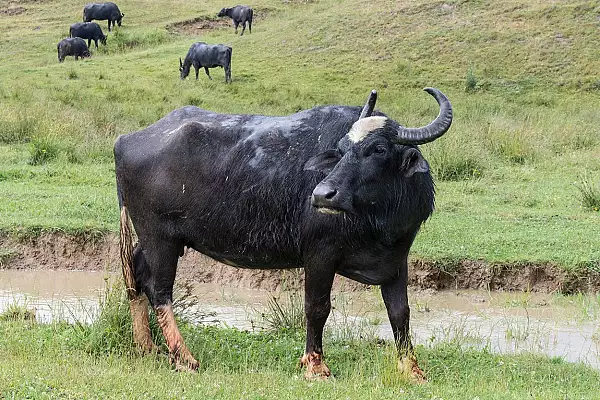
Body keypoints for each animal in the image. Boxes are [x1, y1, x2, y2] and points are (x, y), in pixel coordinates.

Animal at [112, 88, 452, 382]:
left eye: (379, 149)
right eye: (342, 150)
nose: (323, 194)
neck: (378, 222)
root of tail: (126, 140)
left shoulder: (397, 260)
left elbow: (400, 313)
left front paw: (412, 369)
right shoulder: (319, 254)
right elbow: (317, 307)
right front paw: (315, 366)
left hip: (153, 239)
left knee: (136, 276)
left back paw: (146, 346)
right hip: (159, 238)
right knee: (159, 290)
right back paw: (184, 356)